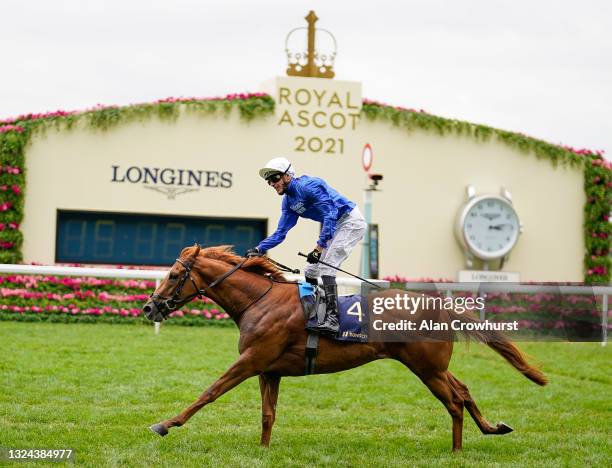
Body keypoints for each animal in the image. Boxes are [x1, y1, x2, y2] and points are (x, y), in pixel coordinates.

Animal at [143, 245, 548, 450]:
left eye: (175, 275)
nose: (149, 307)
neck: (260, 299)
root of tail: (440, 305)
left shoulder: (251, 360)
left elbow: (210, 392)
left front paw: (165, 423)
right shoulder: (269, 369)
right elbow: (268, 414)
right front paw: (263, 450)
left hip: (427, 368)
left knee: (453, 402)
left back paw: (457, 450)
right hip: (433, 367)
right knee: (462, 390)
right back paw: (493, 428)